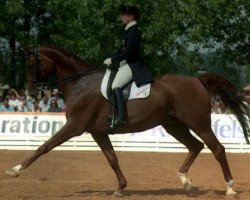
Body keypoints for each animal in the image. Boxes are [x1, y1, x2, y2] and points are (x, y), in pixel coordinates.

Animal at [4, 44, 249, 196]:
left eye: (30, 64)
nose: (32, 93)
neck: (79, 84)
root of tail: (198, 80)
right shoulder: (98, 132)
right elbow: (112, 159)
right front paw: (121, 188)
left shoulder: (74, 126)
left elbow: (44, 147)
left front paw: (15, 170)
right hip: (172, 125)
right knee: (195, 146)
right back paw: (185, 182)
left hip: (198, 123)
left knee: (217, 149)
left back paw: (229, 188)